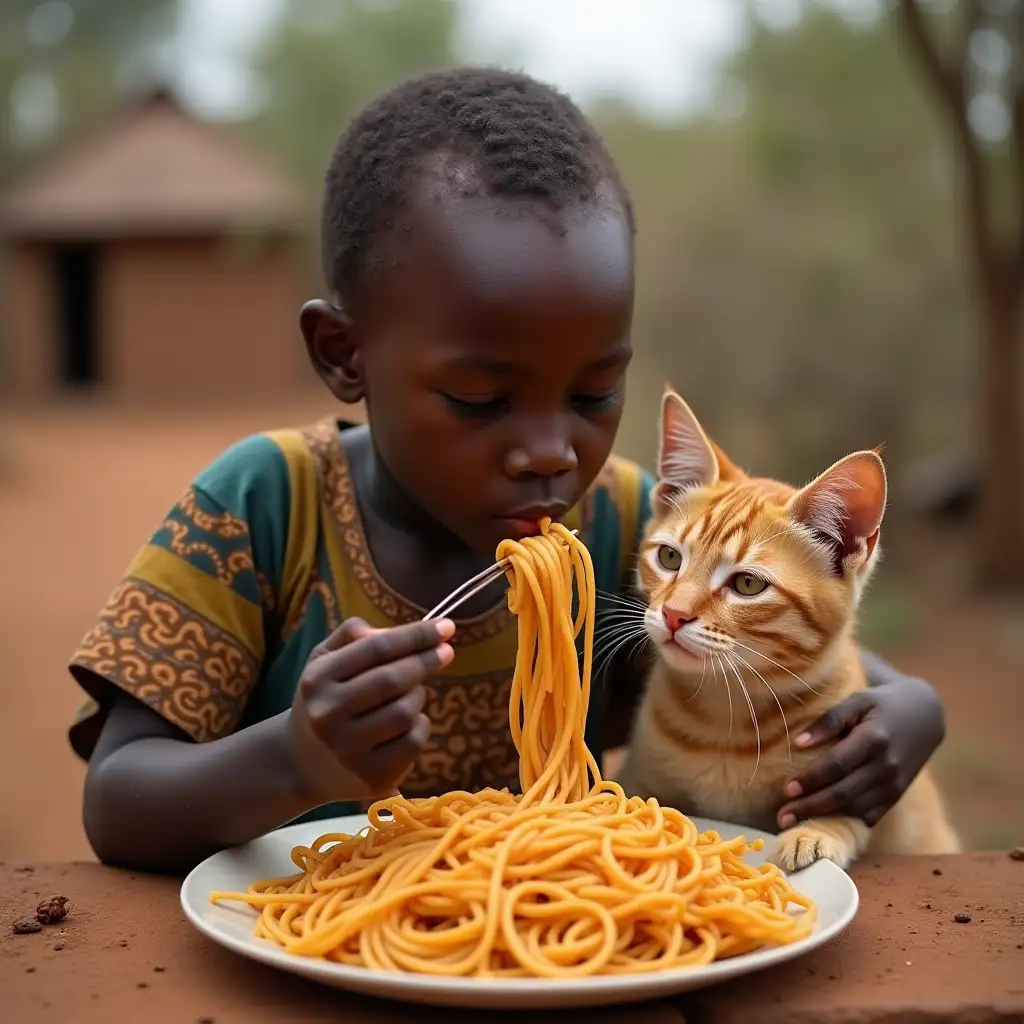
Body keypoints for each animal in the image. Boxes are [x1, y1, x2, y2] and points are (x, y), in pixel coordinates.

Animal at [614, 387, 958, 868]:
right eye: (668, 558)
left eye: (747, 584)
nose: (674, 614)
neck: (726, 722)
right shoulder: (639, 776)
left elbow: (854, 816)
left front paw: (815, 834)